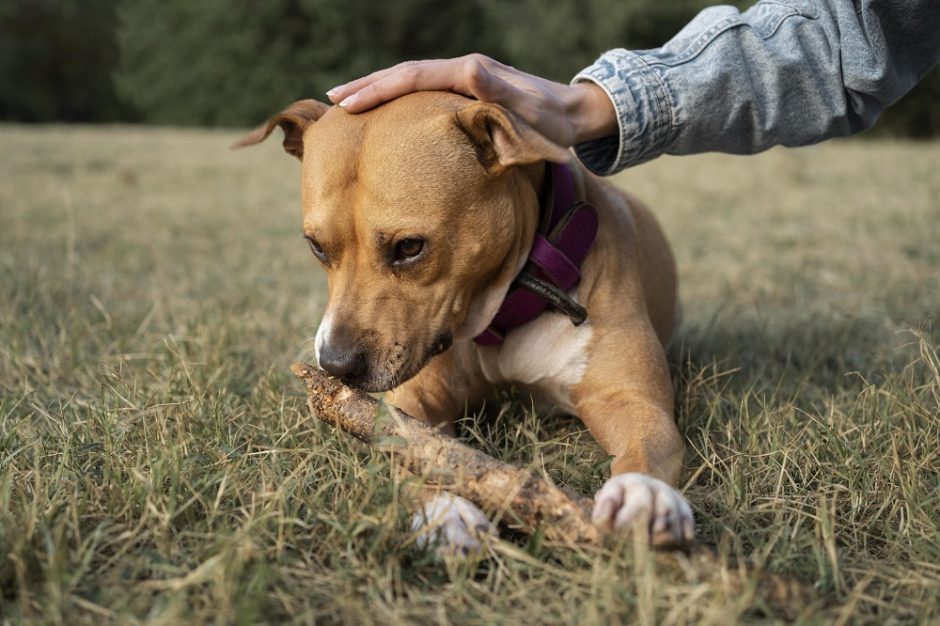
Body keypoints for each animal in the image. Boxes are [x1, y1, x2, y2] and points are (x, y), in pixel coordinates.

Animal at [235, 92, 692, 552]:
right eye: (316, 247)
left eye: (410, 247)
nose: (336, 365)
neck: (500, 315)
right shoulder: (411, 399)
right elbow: (412, 446)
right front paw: (445, 512)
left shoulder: (630, 400)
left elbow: (646, 442)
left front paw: (643, 494)